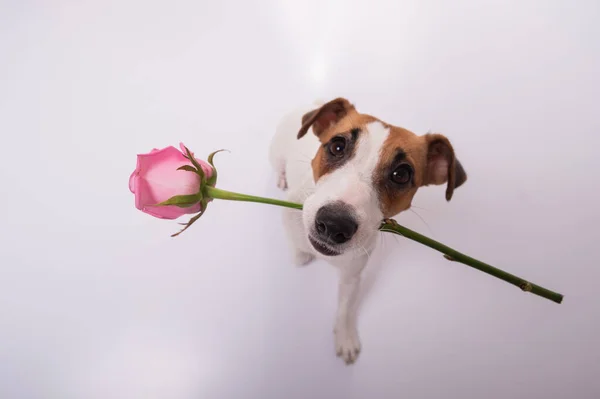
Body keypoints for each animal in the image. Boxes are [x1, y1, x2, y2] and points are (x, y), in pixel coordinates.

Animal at [268, 97, 468, 366]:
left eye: (401, 174)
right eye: (337, 146)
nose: (334, 224)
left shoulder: (353, 274)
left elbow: (345, 308)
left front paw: (345, 337)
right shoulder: (291, 213)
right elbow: (295, 243)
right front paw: (301, 256)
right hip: (276, 153)